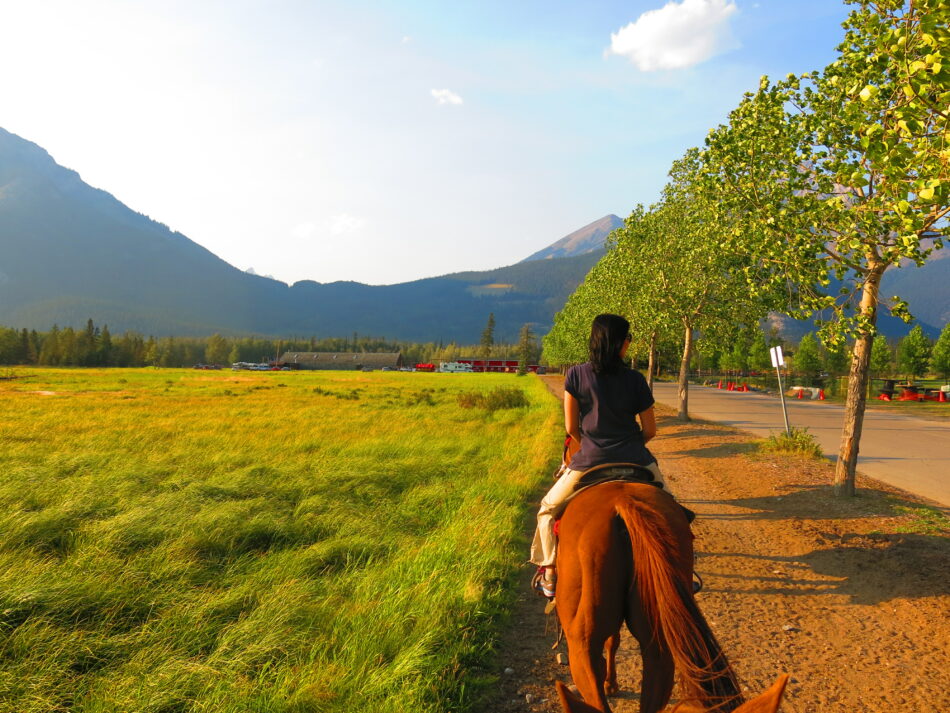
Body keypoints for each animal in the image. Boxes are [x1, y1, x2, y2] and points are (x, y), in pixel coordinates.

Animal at [556, 478, 792, 712]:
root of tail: (622, 504)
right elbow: (614, 640)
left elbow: (612, 641)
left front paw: (611, 684)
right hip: (657, 633)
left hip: (582, 641)